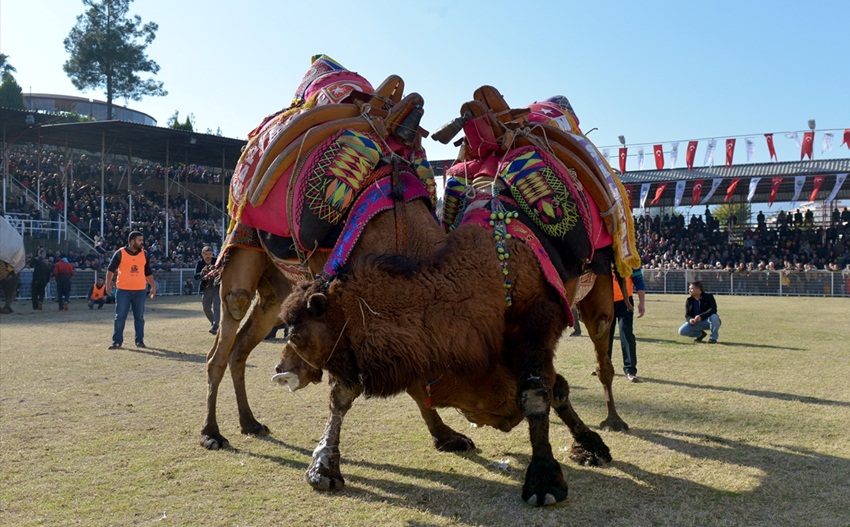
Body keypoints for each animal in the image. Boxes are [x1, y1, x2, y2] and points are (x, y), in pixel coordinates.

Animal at [274, 224, 612, 508]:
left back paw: (592, 446)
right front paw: (322, 471)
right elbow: (346, 398)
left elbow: (535, 392)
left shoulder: (538, 318)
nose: (281, 369)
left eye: (296, 333)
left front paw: (544, 483)